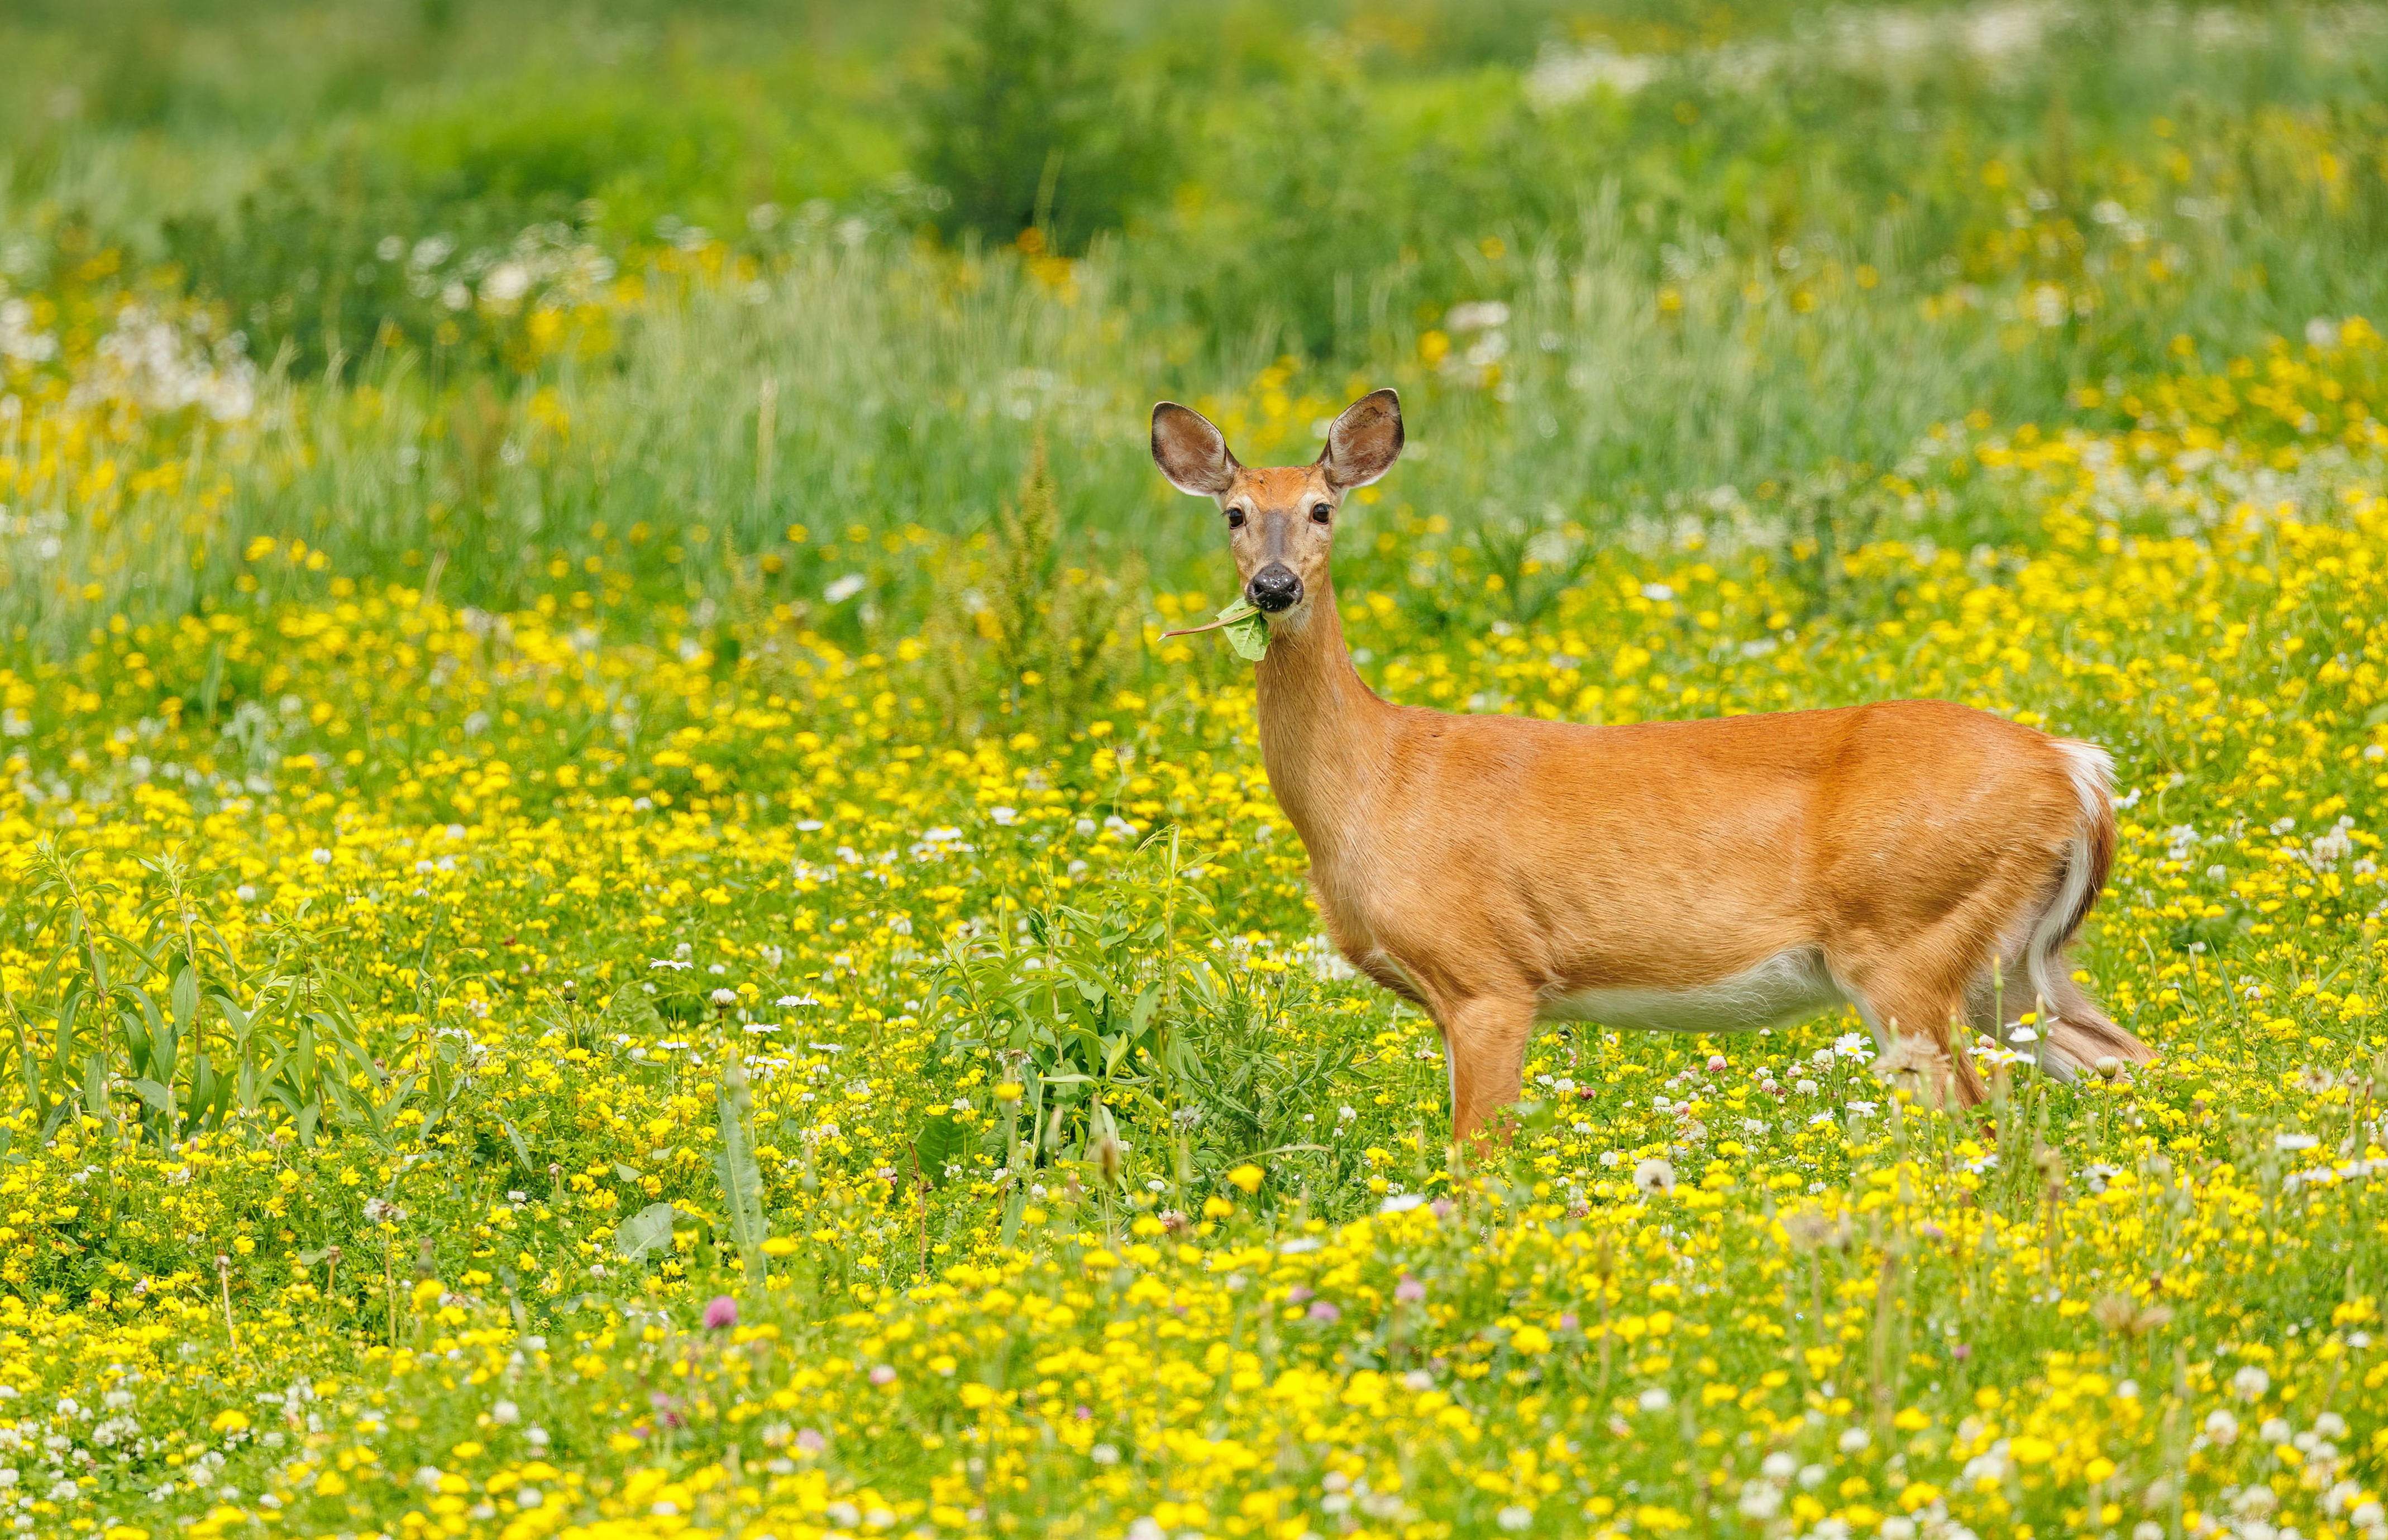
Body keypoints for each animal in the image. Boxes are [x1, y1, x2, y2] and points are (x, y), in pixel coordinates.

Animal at [1149, 388, 2155, 1143]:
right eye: (1235, 515)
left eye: (1322, 509)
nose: (1272, 586)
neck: (1376, 781)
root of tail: (2076, 767)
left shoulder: (1489, 975)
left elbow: (1475, 1166)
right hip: (2014, 961)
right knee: (2127, 1059)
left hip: (1909, 934)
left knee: (1976, 1119)